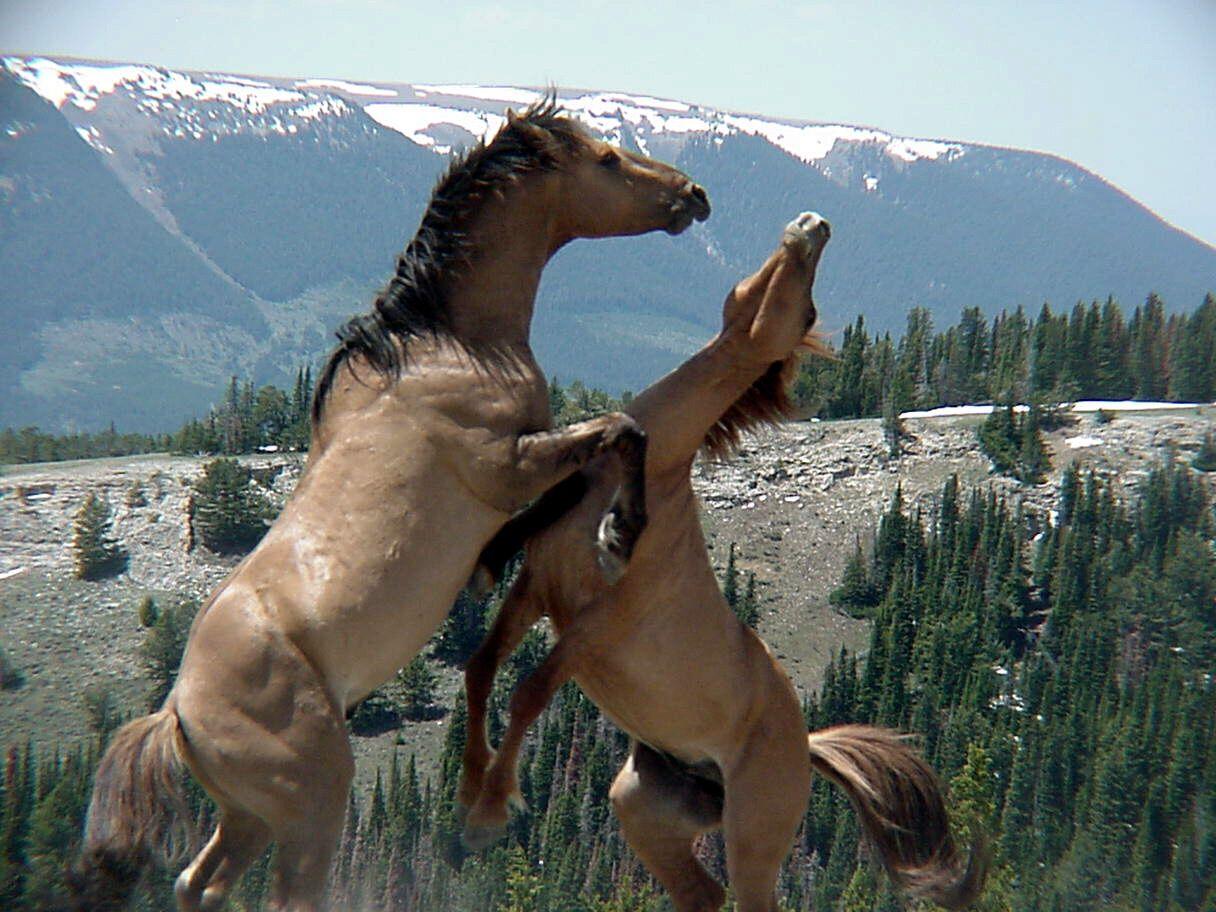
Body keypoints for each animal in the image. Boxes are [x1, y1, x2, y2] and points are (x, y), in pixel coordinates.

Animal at [72, 96, 710, 912]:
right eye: (605, 159)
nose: (693, 195)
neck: (451, 346)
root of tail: (177, 713)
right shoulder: (506, 466)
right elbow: (621, 434)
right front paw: (620, 532)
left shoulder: (517, 471)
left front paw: (503, 561)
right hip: (313, 803)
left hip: (247, 818)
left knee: (199, 883)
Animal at [456, 213, 987, 912]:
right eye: (768, 283)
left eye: (806, 306)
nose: (812, 225)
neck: (648, 477)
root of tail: (805, 747)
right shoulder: (537, 589)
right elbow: (482, 669)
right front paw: (470, 795)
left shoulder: (596, 627)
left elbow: (526, 694)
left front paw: (489, 812)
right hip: (645, 807)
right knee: (701, 894)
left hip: (752, 838)